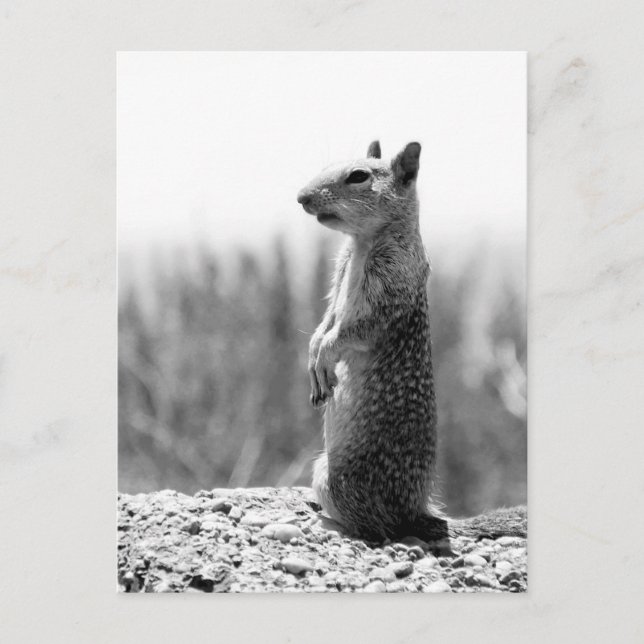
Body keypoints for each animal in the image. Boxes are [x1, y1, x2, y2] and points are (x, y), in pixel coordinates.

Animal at [297, 140, 527, 545]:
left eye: (358, 176)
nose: (301, 197)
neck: (363, 243)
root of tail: (417, 510)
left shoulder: (390, 280)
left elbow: (353, 330)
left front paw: (325, 354)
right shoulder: (340, 269)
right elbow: (326, 319)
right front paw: (314, 353)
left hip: (333, 477)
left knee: (381, 527)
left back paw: (332, 520)